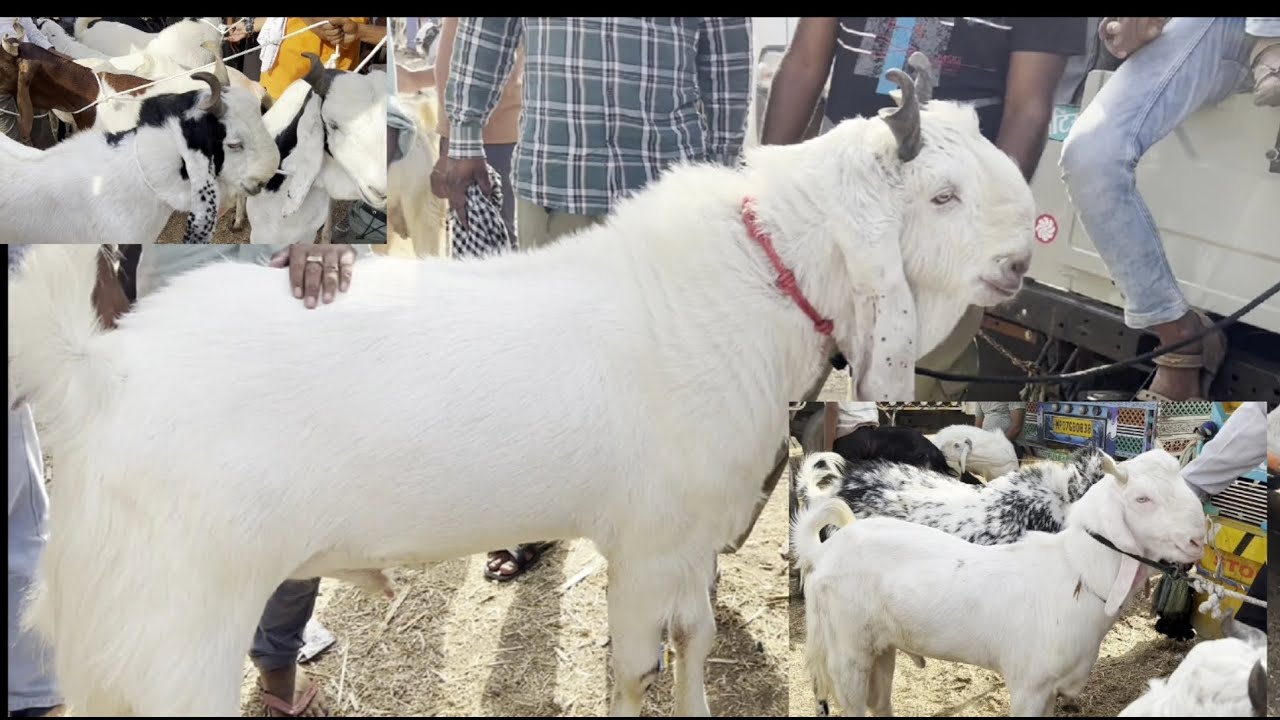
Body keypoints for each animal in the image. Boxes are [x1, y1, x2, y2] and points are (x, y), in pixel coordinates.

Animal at [794, 447, 1207, 717]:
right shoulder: (1029, 686)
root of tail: (824, 549)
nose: (1197, 540)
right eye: (1142, 498)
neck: (1076, 573)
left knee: (880, 703)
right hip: (846, 650)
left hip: (881, 647)